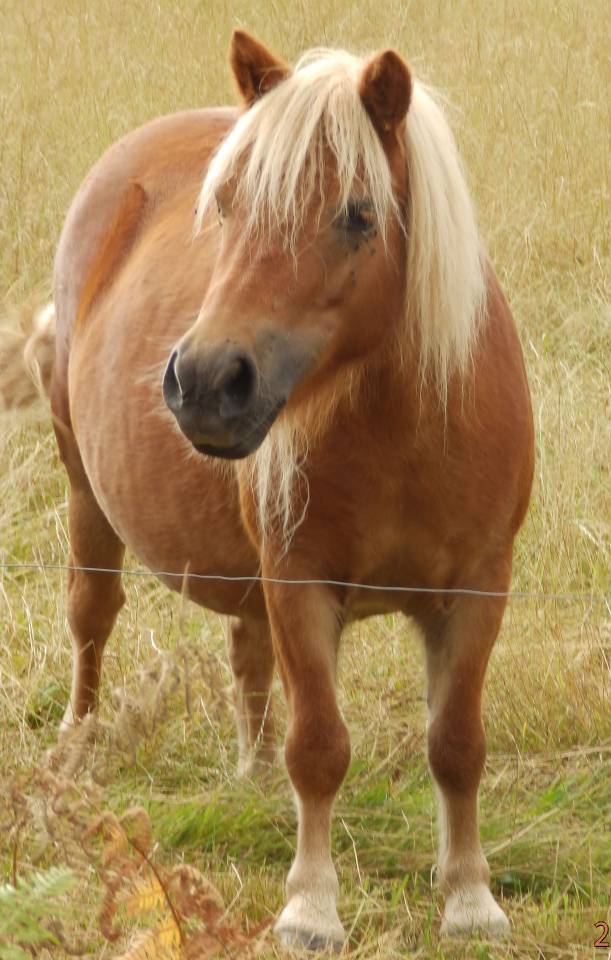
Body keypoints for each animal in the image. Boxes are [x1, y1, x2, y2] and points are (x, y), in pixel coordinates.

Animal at [2, 30, 534, 950]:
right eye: (226, 206)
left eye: (358, 214)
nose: (205, 382)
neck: (407, 432)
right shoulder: (300, 583)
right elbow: (318, 746)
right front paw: (310, 908)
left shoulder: (476, 589)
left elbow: (456, 743)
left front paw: (469, 899)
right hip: (84, 489)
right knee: (91, 617)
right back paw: (78, 745)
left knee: (246, 656)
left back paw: (249, 777)